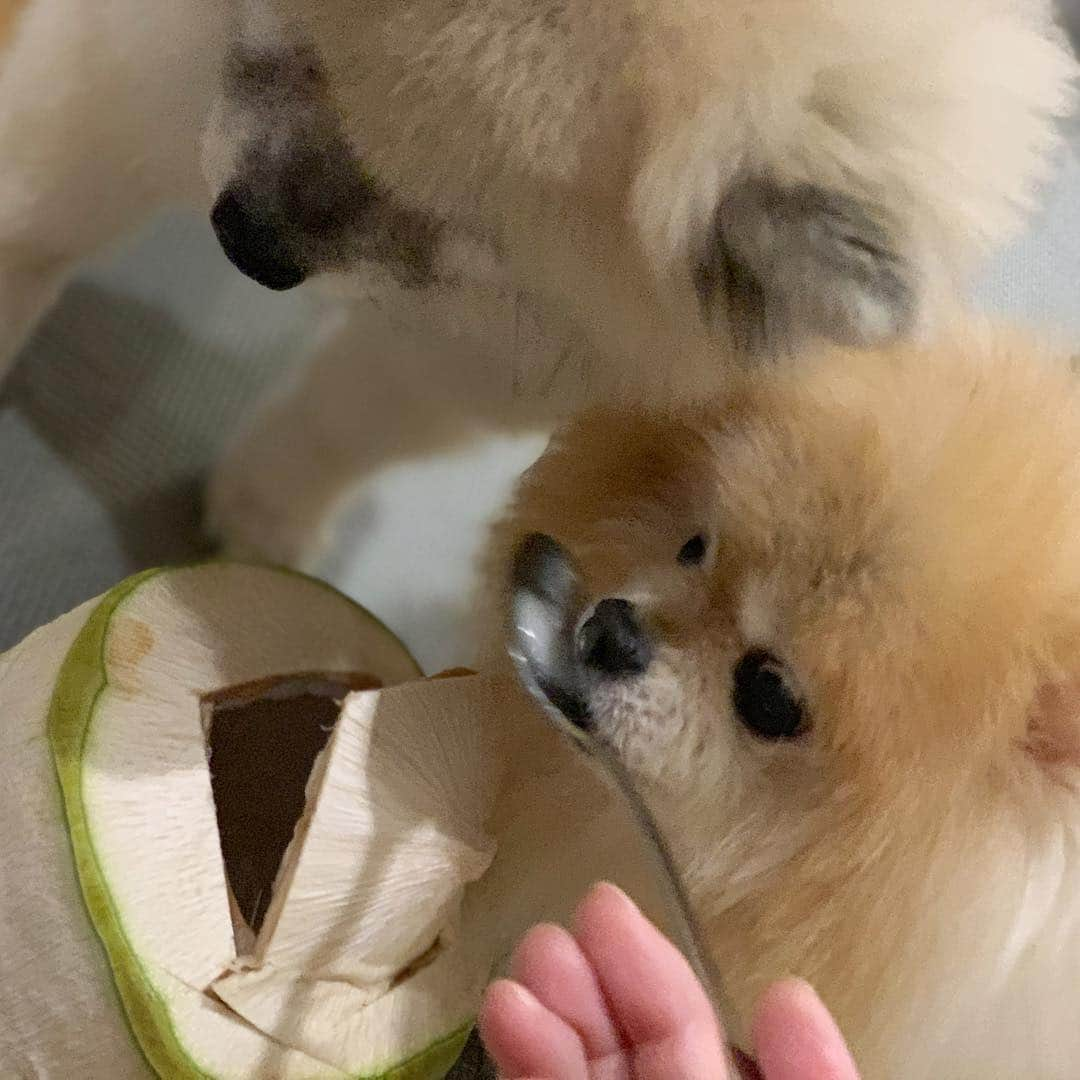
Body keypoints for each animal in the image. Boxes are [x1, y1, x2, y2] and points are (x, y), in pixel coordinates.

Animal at [0, 4, 1071, 570]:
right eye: (303, 48)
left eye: (473, 221)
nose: (247, 240)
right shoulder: (144, 68)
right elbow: (41, 216)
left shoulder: (469, 353)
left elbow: (338, 424)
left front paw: (265, 515)